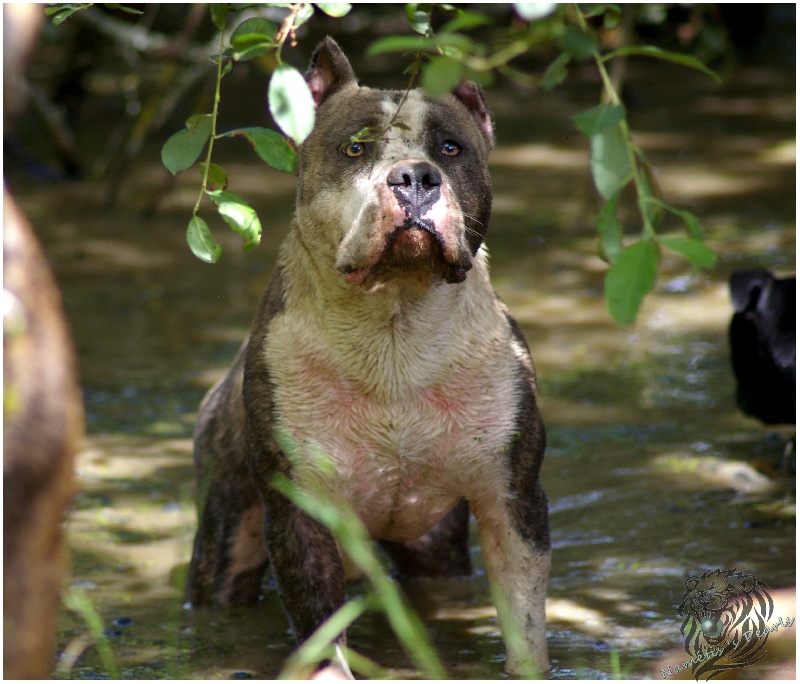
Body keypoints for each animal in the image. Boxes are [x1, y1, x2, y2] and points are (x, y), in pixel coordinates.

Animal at [188, 38, 552, 680]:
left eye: (451, 149)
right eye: (355, 148)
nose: (414, 177)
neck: (394, 329)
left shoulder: (512, 499)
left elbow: (525, 623)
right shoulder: (299, 515)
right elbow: (321, 637)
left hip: (435, 547)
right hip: (226, 540)